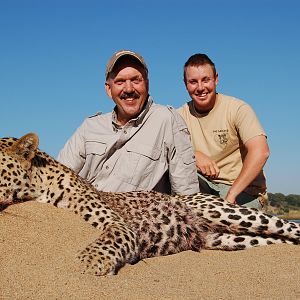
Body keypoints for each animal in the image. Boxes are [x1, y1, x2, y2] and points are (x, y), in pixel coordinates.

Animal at [0, 132, 298, 276]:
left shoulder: (117, 224)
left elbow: (109, 238)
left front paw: (88, 263)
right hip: (228, 238)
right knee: (276, 240)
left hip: (226, 211)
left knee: (287, 227)